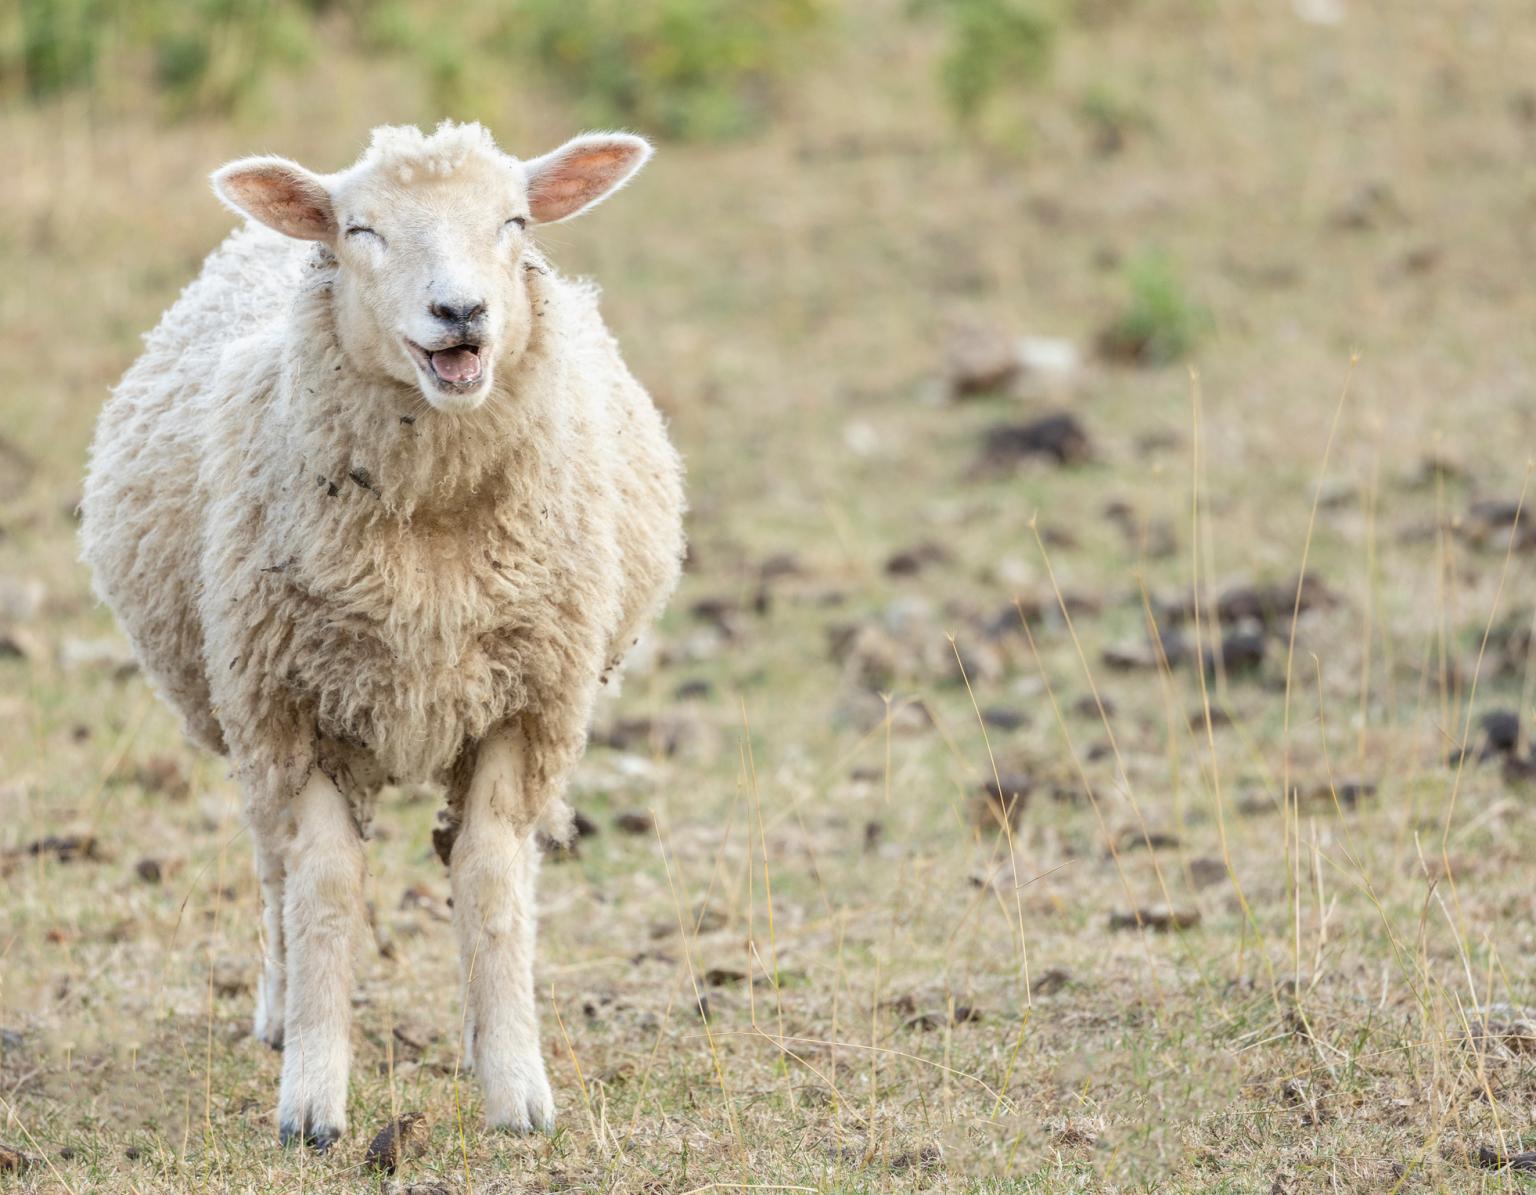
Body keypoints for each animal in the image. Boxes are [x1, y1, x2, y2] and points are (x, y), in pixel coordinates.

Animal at [78, 121, 686, 1149]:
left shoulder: (526, 704)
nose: (461, 311)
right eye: (360, 229)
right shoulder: (293, 706)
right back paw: (280, 1013)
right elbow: (323, 886)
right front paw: (312, 1100)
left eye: (515, 221)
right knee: (274, 866)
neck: (429, 536)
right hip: (242, 710)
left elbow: (490, 879)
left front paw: (515, 1086)